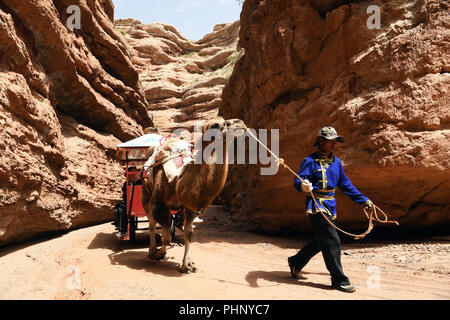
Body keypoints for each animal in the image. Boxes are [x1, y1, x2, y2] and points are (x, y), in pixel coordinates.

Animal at [142, 117, 244, 272]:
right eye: (215, 125)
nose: (239, 122)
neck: (178, 181)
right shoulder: (159, 204)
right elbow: (166, 235)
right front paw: (159, 253)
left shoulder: (191, 208)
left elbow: (188, 234)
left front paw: (187, 264)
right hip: (145, 195)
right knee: (151, 223)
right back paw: (152, 250)